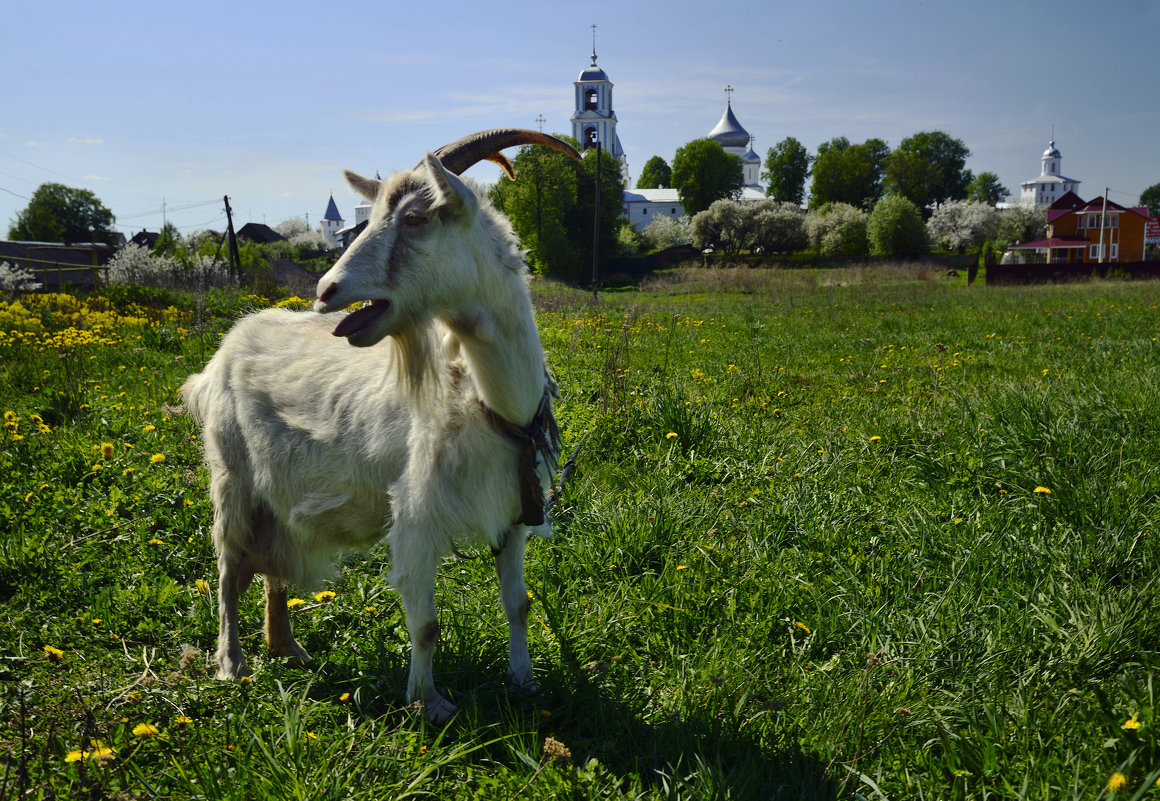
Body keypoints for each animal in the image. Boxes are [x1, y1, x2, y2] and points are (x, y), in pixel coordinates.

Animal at [182, 129, 580, 718]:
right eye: (367, 219)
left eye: (415, 218)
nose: (325, 290)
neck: (491, 402)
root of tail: (222, 353)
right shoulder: (415, 517)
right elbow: (427, 624)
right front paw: (429, 704)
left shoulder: (512, 513)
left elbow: (519, 605)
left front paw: (525, 682)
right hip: (232, 479)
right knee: (229, 570)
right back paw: (233, 664)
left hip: (278, 492)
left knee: (273, 566)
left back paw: (287, 647)